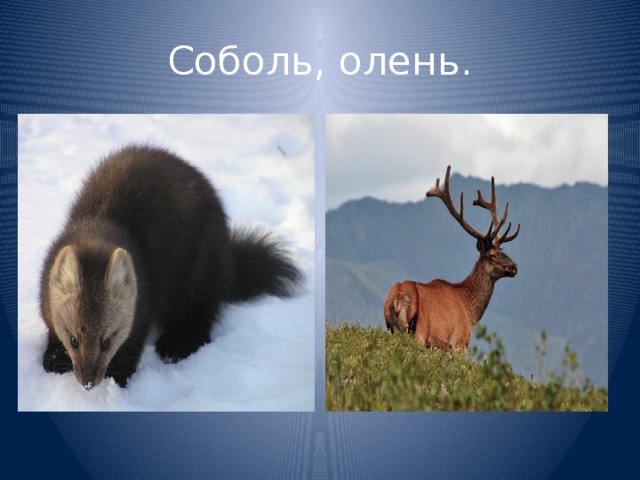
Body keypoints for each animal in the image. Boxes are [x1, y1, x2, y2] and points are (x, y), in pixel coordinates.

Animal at [383, 165, 520, 352]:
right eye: (492, 255)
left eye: (502, 250)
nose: (514, 267)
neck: (470, 312)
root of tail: (397, 298)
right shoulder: (459, 343)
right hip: (419, 333)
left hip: (390, 328)